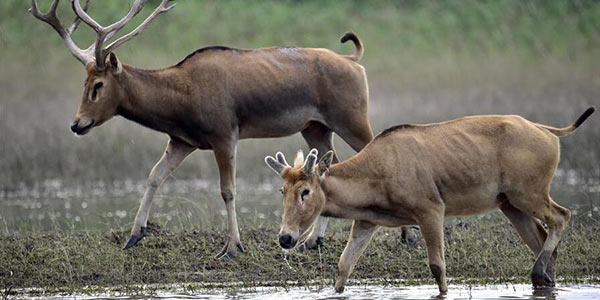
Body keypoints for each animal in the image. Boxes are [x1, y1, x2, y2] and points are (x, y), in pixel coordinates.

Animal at [29, 0, 418, 258]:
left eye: (98, 85)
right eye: (83, 83)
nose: (77, 123)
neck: (178, 104)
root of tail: (355, 61)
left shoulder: (223, 133)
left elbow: (228, 190)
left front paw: (233, 246)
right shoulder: (182, 140)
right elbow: (155, 175)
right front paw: (134, 235)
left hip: (351, 116)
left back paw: (409, 236)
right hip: (315, 127)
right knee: (327, 164)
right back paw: (313, 240)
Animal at [268, 107, 596, 292]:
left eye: (305, 191)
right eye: (282, 191)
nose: (286, 238)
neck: (371, 183)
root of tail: (550, 132)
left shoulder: (431, 208)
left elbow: (438, 266)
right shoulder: (366, 220)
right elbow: (343, 267)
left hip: (529, 191)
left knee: (563, 216)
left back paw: (539, 272)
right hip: (510, 203)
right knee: (542, 239)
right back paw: (545, 278)